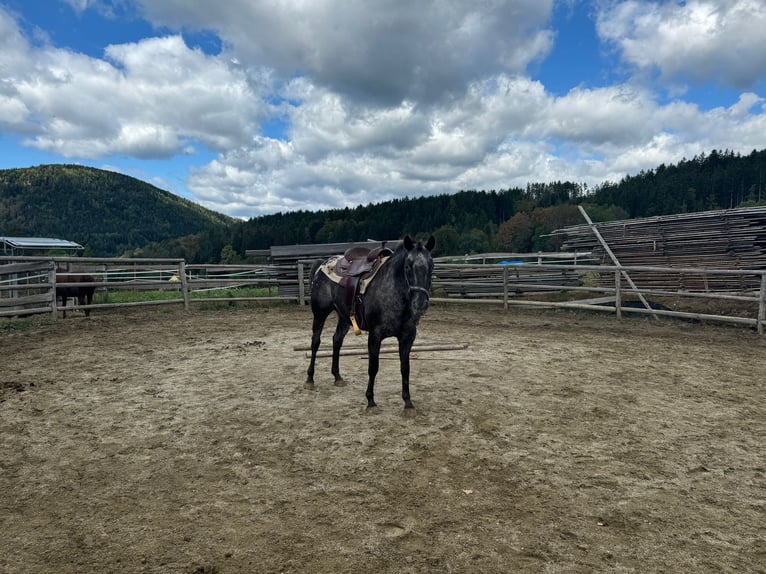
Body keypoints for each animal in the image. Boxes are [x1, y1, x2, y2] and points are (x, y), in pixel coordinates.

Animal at [308, 235, 438, 414]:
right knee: (315, 342)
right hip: (320, 314)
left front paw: (408, 402)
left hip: (344, 317)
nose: (420, 303)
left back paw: (337, 376)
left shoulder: (407, 337)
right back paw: (310, 379)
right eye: (407, 267)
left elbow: (405, 368)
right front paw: (370, 401)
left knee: (337, 340)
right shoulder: (375, 336)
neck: (392, 292)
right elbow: (373, 367)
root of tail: (322, 264)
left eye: (431, 266)